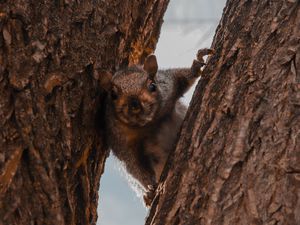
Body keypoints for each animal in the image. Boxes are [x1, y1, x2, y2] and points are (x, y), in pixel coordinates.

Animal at [103, 48, 213, 207]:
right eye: (113, 95)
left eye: (152, 86)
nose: (134, 104)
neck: (148, 125)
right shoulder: (120, 141)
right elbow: (134, 166)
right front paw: (150, 188)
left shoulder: (169, 85)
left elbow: (182, 77)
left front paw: (197, 65)